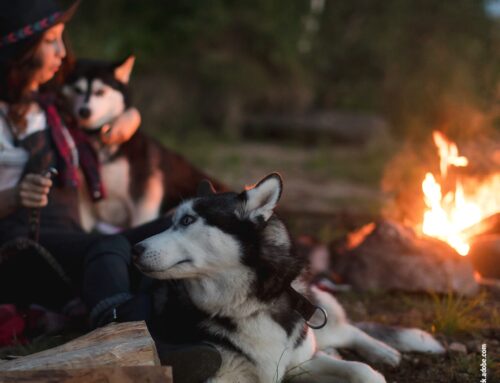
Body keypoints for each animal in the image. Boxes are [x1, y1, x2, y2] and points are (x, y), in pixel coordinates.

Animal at [132, 175, 442, 383]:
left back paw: (384, 351)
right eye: (172, 221)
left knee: (350, 330)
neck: (251, 307)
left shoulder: (297, 361)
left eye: (187, 221)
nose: (134, 249)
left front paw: (372, 367)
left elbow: (361, 370)